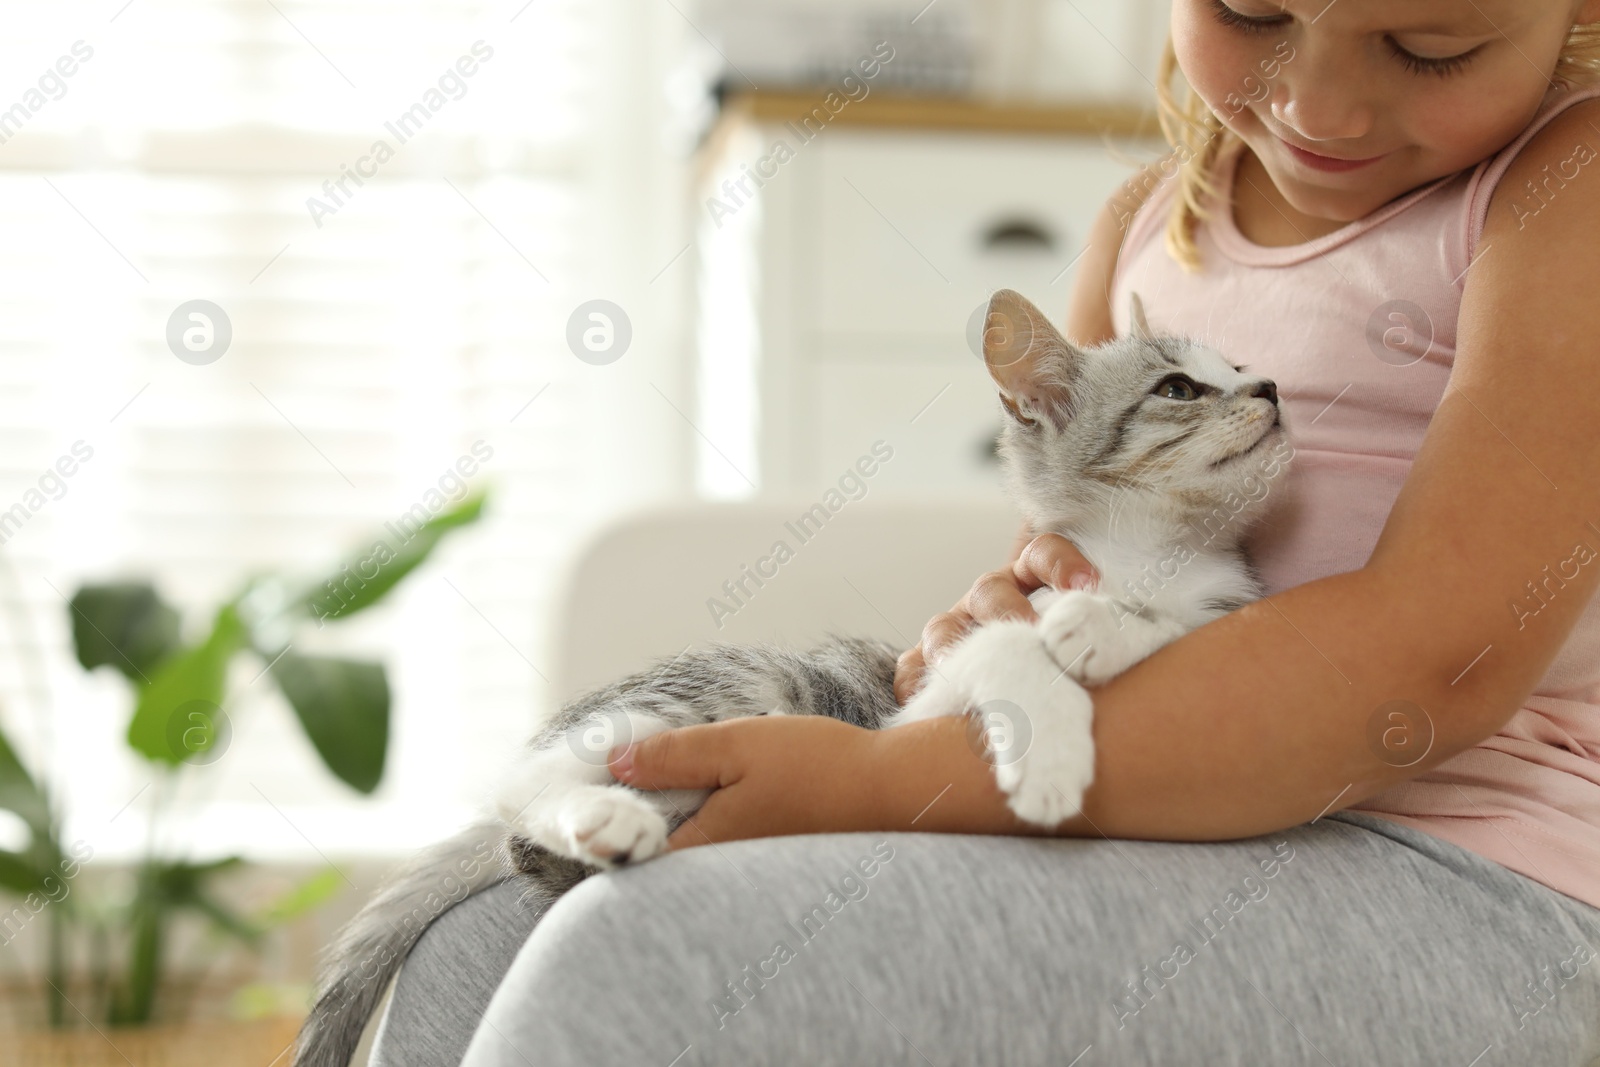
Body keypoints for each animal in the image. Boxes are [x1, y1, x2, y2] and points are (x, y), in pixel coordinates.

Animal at [294, 287, 1292, 1062]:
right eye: (1177, 387)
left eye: (1242, 362)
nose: (1274, 387)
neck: (1152, 558)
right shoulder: (927, 692)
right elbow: (1009, 644)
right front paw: (1051, 749)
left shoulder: (1216, 612)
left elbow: (1181, 631)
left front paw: (1107, 628)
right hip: (732, 691)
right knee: (522, 781)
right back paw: (602, 812)